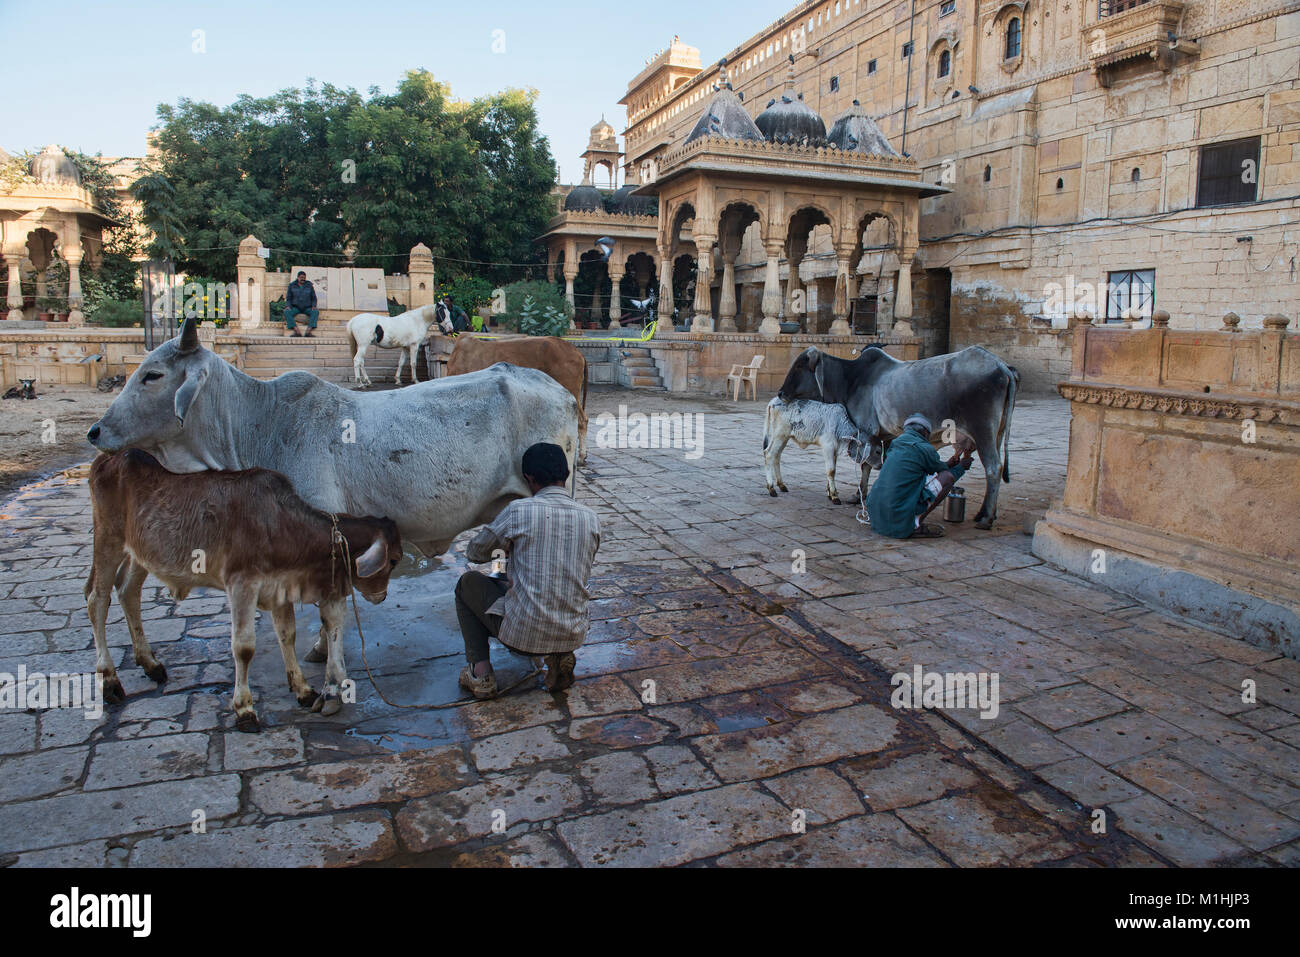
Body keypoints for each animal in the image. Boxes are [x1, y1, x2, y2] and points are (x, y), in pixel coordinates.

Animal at [86, 449, 403, 731]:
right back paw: (110, 680)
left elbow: (287, 635)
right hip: (107, 539)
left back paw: (150, 664)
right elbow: (244, 647)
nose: (382, 595)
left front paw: (302, 689)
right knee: (96, 599)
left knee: (128, 591)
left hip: (141, 552)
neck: (281, 524)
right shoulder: (242, 584)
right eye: (394, 559)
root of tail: (107, 458)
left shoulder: (280, 587)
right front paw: (245, 709)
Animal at [778, 345, 1019, 529]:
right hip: (997, 433)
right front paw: (862, 496)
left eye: (799, 366)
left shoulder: (867, 430)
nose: (781, 393)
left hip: (983, 431)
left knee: (993, 468)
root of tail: (1002, 366)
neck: (851, 379)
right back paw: (987, 513)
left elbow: (866, 464)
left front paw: (859, 496)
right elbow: (877, 463)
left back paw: (986, 518)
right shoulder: (885, 436)